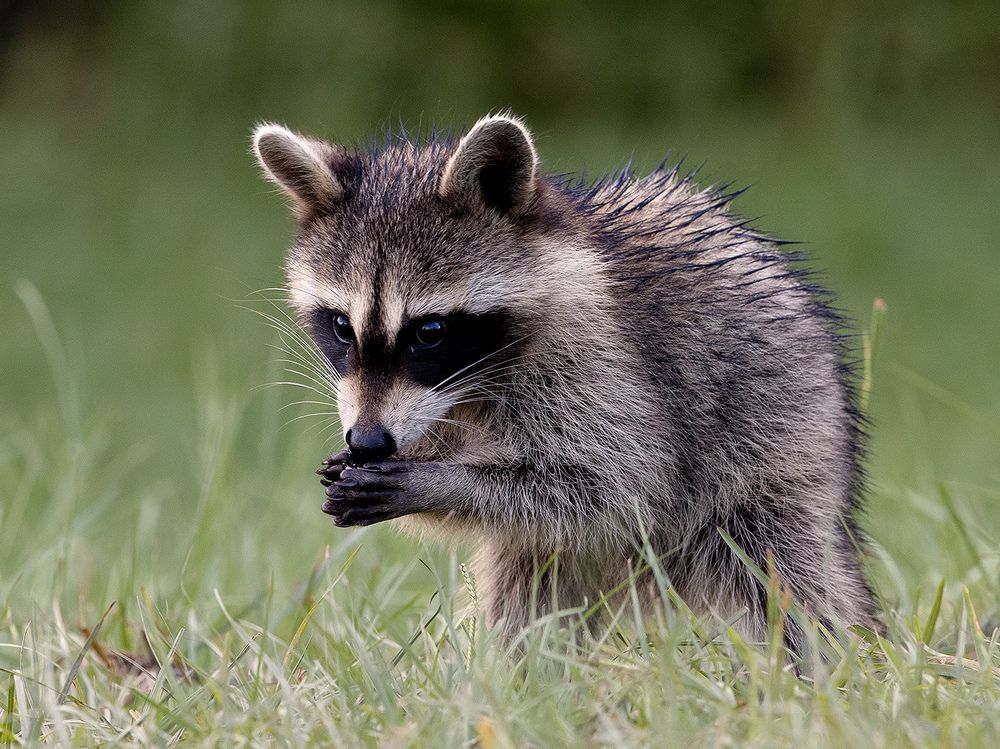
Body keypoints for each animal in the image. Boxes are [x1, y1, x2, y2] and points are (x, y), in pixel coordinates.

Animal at [252, 114, 877, 649]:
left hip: (780, 452)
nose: (367, 441)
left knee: (790, 585)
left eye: (429, 331)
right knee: (527, 598)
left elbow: (615, 487)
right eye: (341, 326)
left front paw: (436, 480)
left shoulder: (604, 364)